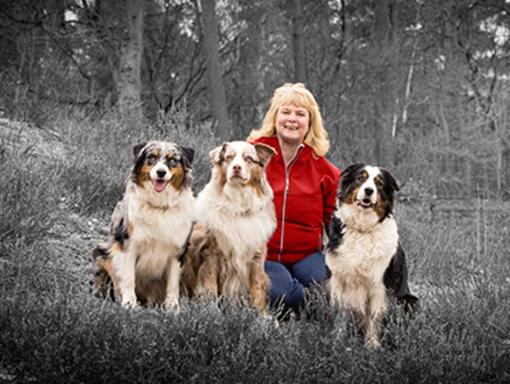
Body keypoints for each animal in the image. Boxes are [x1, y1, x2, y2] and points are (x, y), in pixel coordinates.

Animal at [91, 141, 195, 308]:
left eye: (173, 160)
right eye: (151, 157)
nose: (160, 172)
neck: (159, 207)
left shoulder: (178, 251)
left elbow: (173, 283)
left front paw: (172, 306)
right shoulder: (129, 246)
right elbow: (128, 278)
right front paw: (129, 302)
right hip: (102, 252)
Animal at [179, 140, 274, 314]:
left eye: (248, 159)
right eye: (229, 158)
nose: (236, 168)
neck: (238, 206)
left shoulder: (256, 258)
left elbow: (257, 288)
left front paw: (262, 316)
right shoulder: (211, 253)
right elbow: (209, 287)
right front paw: (210, 311)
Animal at [328, 164, 416, 350]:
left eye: (379, 183)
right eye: (360, 178)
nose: (369, 190)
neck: (362, 229)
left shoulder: (379, 286)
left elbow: (375, 318)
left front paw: (372, 345)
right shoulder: (338, 280)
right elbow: (340, 314)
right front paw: (337, 341)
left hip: (409, 301)